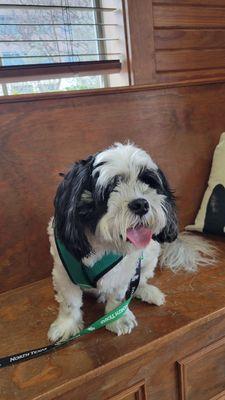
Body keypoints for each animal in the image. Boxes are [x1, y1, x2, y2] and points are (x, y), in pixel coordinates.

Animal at [48, 142, 214, 342]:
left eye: (148, 182)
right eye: (111, 187)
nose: (141, 204)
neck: (103, 244)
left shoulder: (125, 271)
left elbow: (118, 296)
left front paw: (118, 319)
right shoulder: (64, 274)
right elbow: (69, 303)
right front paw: (67, 325)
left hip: (150, 256)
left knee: (140, 280)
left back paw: (148, 292)